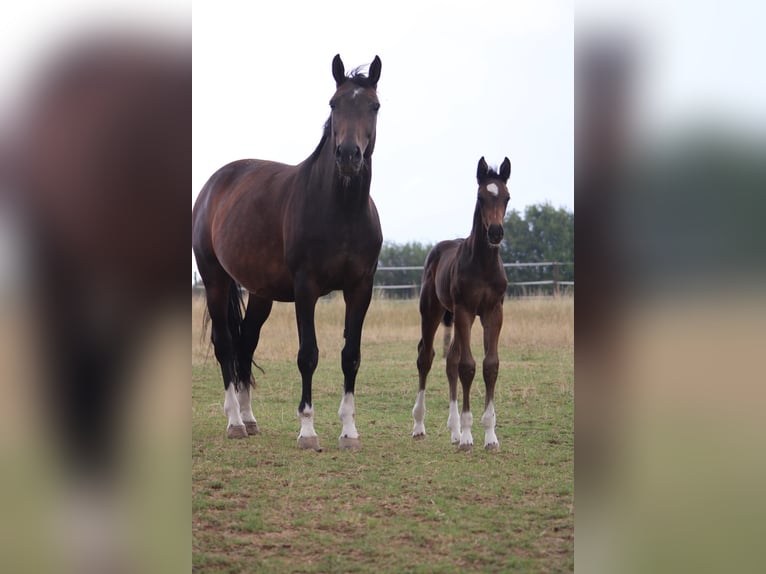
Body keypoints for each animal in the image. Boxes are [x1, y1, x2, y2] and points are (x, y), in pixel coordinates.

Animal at [192, 54, 383, 451]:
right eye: (333, 103)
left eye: (374, 106)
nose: (348, 156)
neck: (342, 211)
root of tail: (214, 185)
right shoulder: (305, 288)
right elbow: (307, 355)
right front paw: (308, 431)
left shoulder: (361, 288)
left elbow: (351, 356)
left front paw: (349, 431)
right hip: (216, 281)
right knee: (225, 344)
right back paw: (234, 421)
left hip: (261, 293)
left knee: (246, 342)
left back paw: (249, 418)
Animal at [412, 156, 511, 451]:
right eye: (480, 197)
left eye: (507, 197)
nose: (495, 232)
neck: (483, 264)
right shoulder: (466, 310)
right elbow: (468, 366)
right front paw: (468, 435)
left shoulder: (493, 312)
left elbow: (490, 365)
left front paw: (490, 436)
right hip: (433, 311)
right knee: (426, 357)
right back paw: (419, 425)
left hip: (454, 316)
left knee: (450, 361)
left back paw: (454, 430)